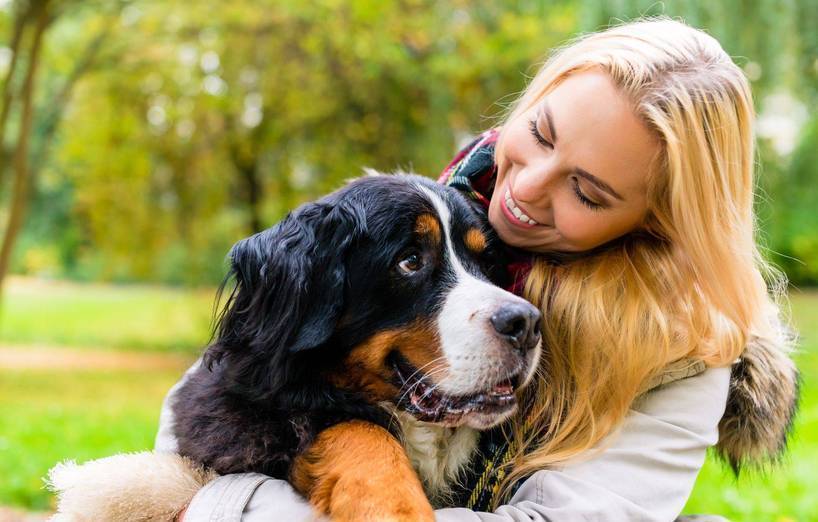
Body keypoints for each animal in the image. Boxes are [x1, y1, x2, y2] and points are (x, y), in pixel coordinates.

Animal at [46, 173, 540, 516]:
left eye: (487, 263)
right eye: (410, 261)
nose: (527, 323)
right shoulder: (232, 417)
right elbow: (357, 427)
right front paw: (396, 507)